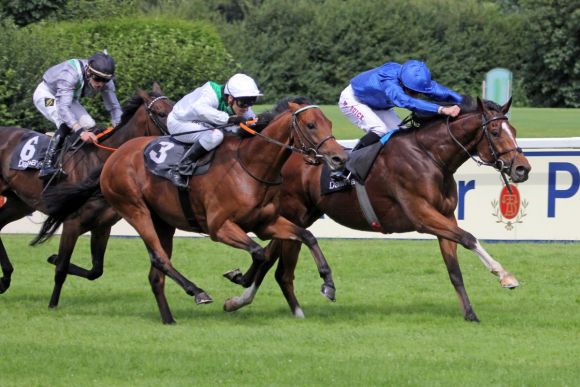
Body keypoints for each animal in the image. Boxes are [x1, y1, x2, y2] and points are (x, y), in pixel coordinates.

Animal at [0, 84, 172, 310]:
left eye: (174, 106)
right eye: (160, 113)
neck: (100, 162)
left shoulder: (102, 226)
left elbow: (95, 270)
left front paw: (52, 257)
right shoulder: (72, 222)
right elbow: (62, 268)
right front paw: (52, 304)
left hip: (18, 203)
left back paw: (5, 279)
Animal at [40, 98, 348, 324]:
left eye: (329, 122)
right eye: (311, 124)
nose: (339, 158)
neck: (251, 166)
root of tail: (114, 157)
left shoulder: (267, 222)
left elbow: (306, 236)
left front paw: (328, 284)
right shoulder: (220, 227)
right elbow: (259, 253)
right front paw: (238, 279)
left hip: (163, 221)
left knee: (156, 274)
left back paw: (168, 319)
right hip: (135, 209)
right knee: (160, 258)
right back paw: (197, 292)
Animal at [224, 96, 532, 322]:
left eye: (515, 131)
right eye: (495, 131)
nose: (522, 168)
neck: (430, 157)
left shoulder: (444, 217)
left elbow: (454, 269)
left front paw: (470, 313)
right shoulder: (422, 215)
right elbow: (469, 237)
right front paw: (505, 276)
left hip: (303, 215)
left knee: (271, 253)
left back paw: (239, 295)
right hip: (294, 211)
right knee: (278, 264)